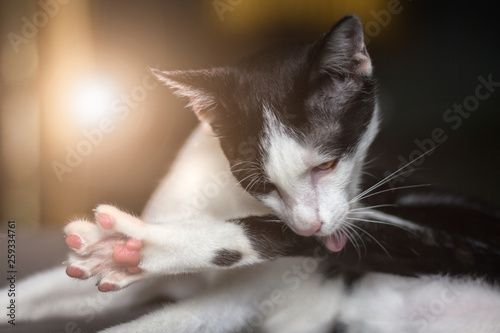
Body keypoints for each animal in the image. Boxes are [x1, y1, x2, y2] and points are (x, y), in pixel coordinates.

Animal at [2, 14, 500, 330]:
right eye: (260, 184)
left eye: (327, 165)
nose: (310, 223)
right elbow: (38, 291)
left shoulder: (231, 304)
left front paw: (130, 250)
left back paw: (136, 248)